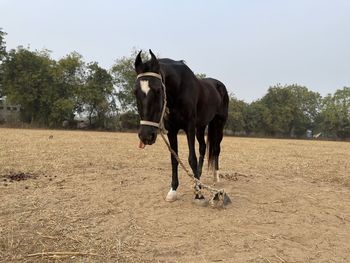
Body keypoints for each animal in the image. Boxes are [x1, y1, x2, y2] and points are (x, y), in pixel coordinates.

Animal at [133, 50, 228, 203]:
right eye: (135, 91)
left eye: (158, 90)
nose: (146, 136)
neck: (179, 88)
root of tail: (219, 85)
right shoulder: (172, 130)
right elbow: (174, 159)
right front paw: (173, 190)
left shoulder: (189, 127)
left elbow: (191, 158)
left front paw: (199, 194)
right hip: (201, 127)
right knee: (203, 147)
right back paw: (198, 177)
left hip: (218, 124)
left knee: (215, 149)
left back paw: (216, 178)